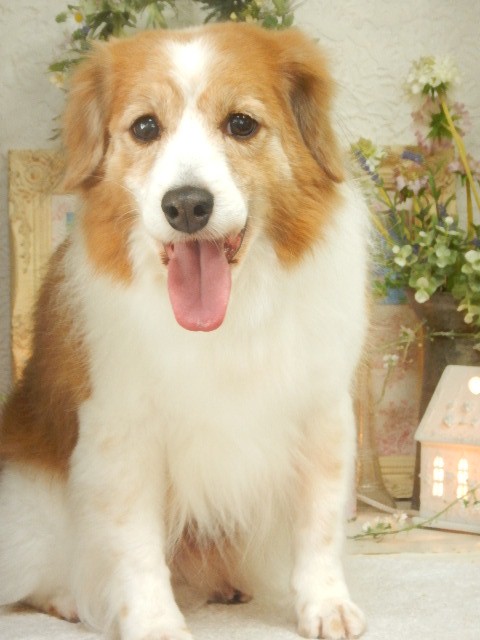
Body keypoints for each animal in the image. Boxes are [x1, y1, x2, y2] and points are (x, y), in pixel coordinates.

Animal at [0, 22, 368, 640]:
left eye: (241, 124)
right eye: (146, 127)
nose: (188, 205)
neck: (226, 320)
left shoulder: (321, 413)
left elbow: (317, 526)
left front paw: (324, 603)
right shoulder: (122, 432)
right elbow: (135, 545)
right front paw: (153, 622)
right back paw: (73, 600)